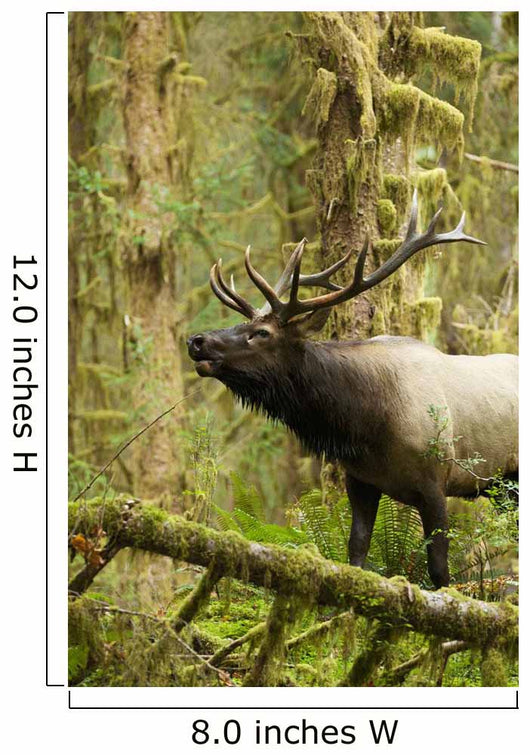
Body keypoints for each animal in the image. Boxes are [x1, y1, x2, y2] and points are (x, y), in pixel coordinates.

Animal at [187, 191, 518, 588]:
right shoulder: (360, 480)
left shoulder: (437, 480)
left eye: (262, 332)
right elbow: (356, 551)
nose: (197, 341)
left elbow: (439, 570)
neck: (367, 424)